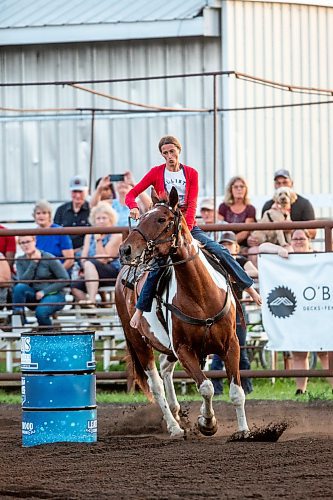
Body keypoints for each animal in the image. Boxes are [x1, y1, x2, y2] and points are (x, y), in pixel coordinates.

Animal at [114, 188, 246, 438]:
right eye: (141, 217)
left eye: (161, 219)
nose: (125, 249)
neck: (201, 294)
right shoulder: (184, 349)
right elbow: (206, 387)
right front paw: (207, 423)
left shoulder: (231, 344)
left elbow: (236, 392)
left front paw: (244, 430)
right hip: (139, 342)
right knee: (156, 384)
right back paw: (174, 426)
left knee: (165, 367)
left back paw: (177, 414)